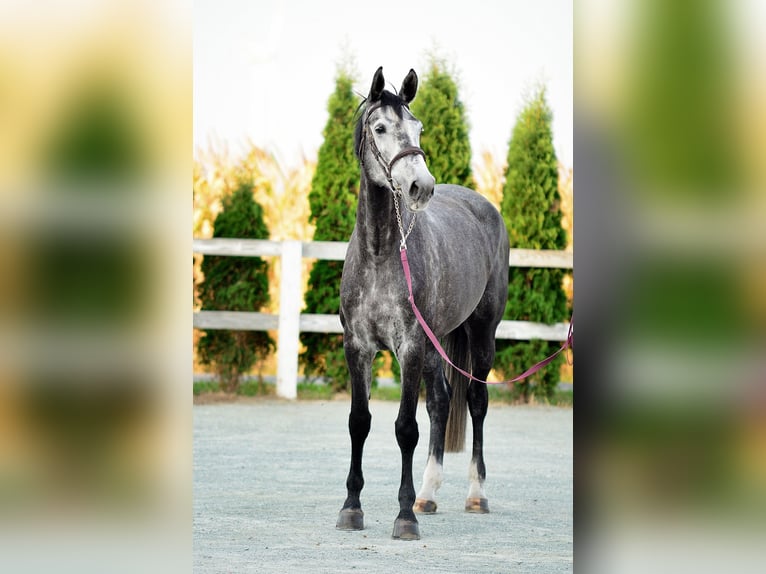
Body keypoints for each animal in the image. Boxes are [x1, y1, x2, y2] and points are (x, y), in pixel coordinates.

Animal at [336, 65, 510, 544]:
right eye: (380, 128)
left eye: (417, 128)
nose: (421, 186)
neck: (381, 253)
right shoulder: (358, 347)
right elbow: (360, 422)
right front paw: (351, 508)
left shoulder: (410, 348)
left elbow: (404, 428)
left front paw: (403, 517)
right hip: (439, 343)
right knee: (441, 402)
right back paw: (427, 495)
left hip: (481, 335)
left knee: (476, 401)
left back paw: (475, 494)